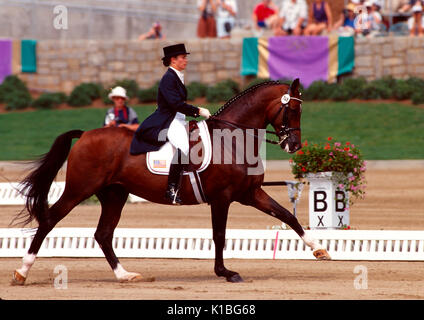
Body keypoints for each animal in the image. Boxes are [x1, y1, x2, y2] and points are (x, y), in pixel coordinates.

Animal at [12, 79, 332, 284]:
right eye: (293, 109)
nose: (294, 146)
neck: (232, 139)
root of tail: (86, 134)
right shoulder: (223, 198)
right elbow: (219, 235)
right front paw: (226, 273)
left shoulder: (250, 193)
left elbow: (288, 215)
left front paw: (319, 249)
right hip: (80, 189)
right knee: (49, 220)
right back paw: (22, 272)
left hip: (114, 195)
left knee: (103, 234)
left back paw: (124, 275)